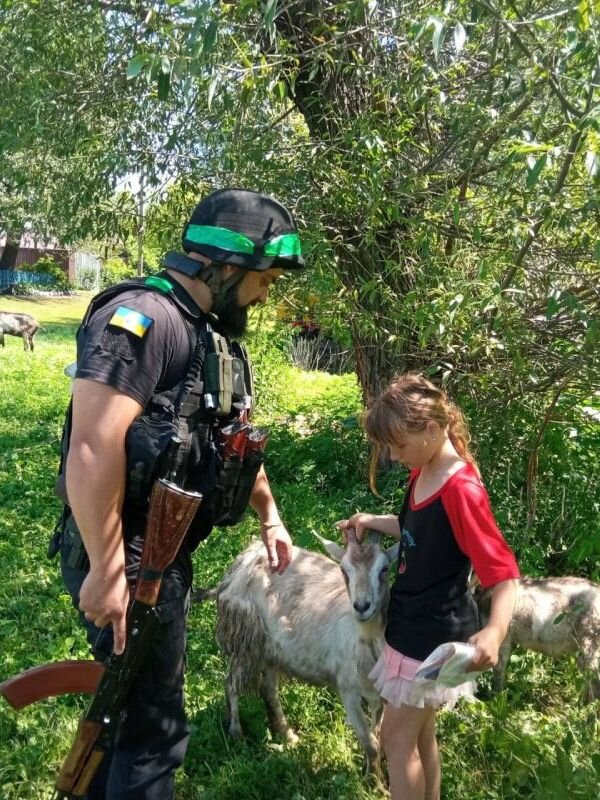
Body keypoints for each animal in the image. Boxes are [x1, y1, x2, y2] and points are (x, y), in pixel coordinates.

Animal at [195, 528, 396, 764]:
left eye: (384, 569)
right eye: (344, 570)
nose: (362, 606)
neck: (365, 638)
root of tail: (243, 559)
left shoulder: (379, 696)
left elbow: (377, 737)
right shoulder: (348, 689)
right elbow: (371, 745)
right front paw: (371, 774)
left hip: (270, 650)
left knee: (268, 690)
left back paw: (288, 736)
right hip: (246, 637)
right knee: (232, 684)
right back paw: (237, 735)